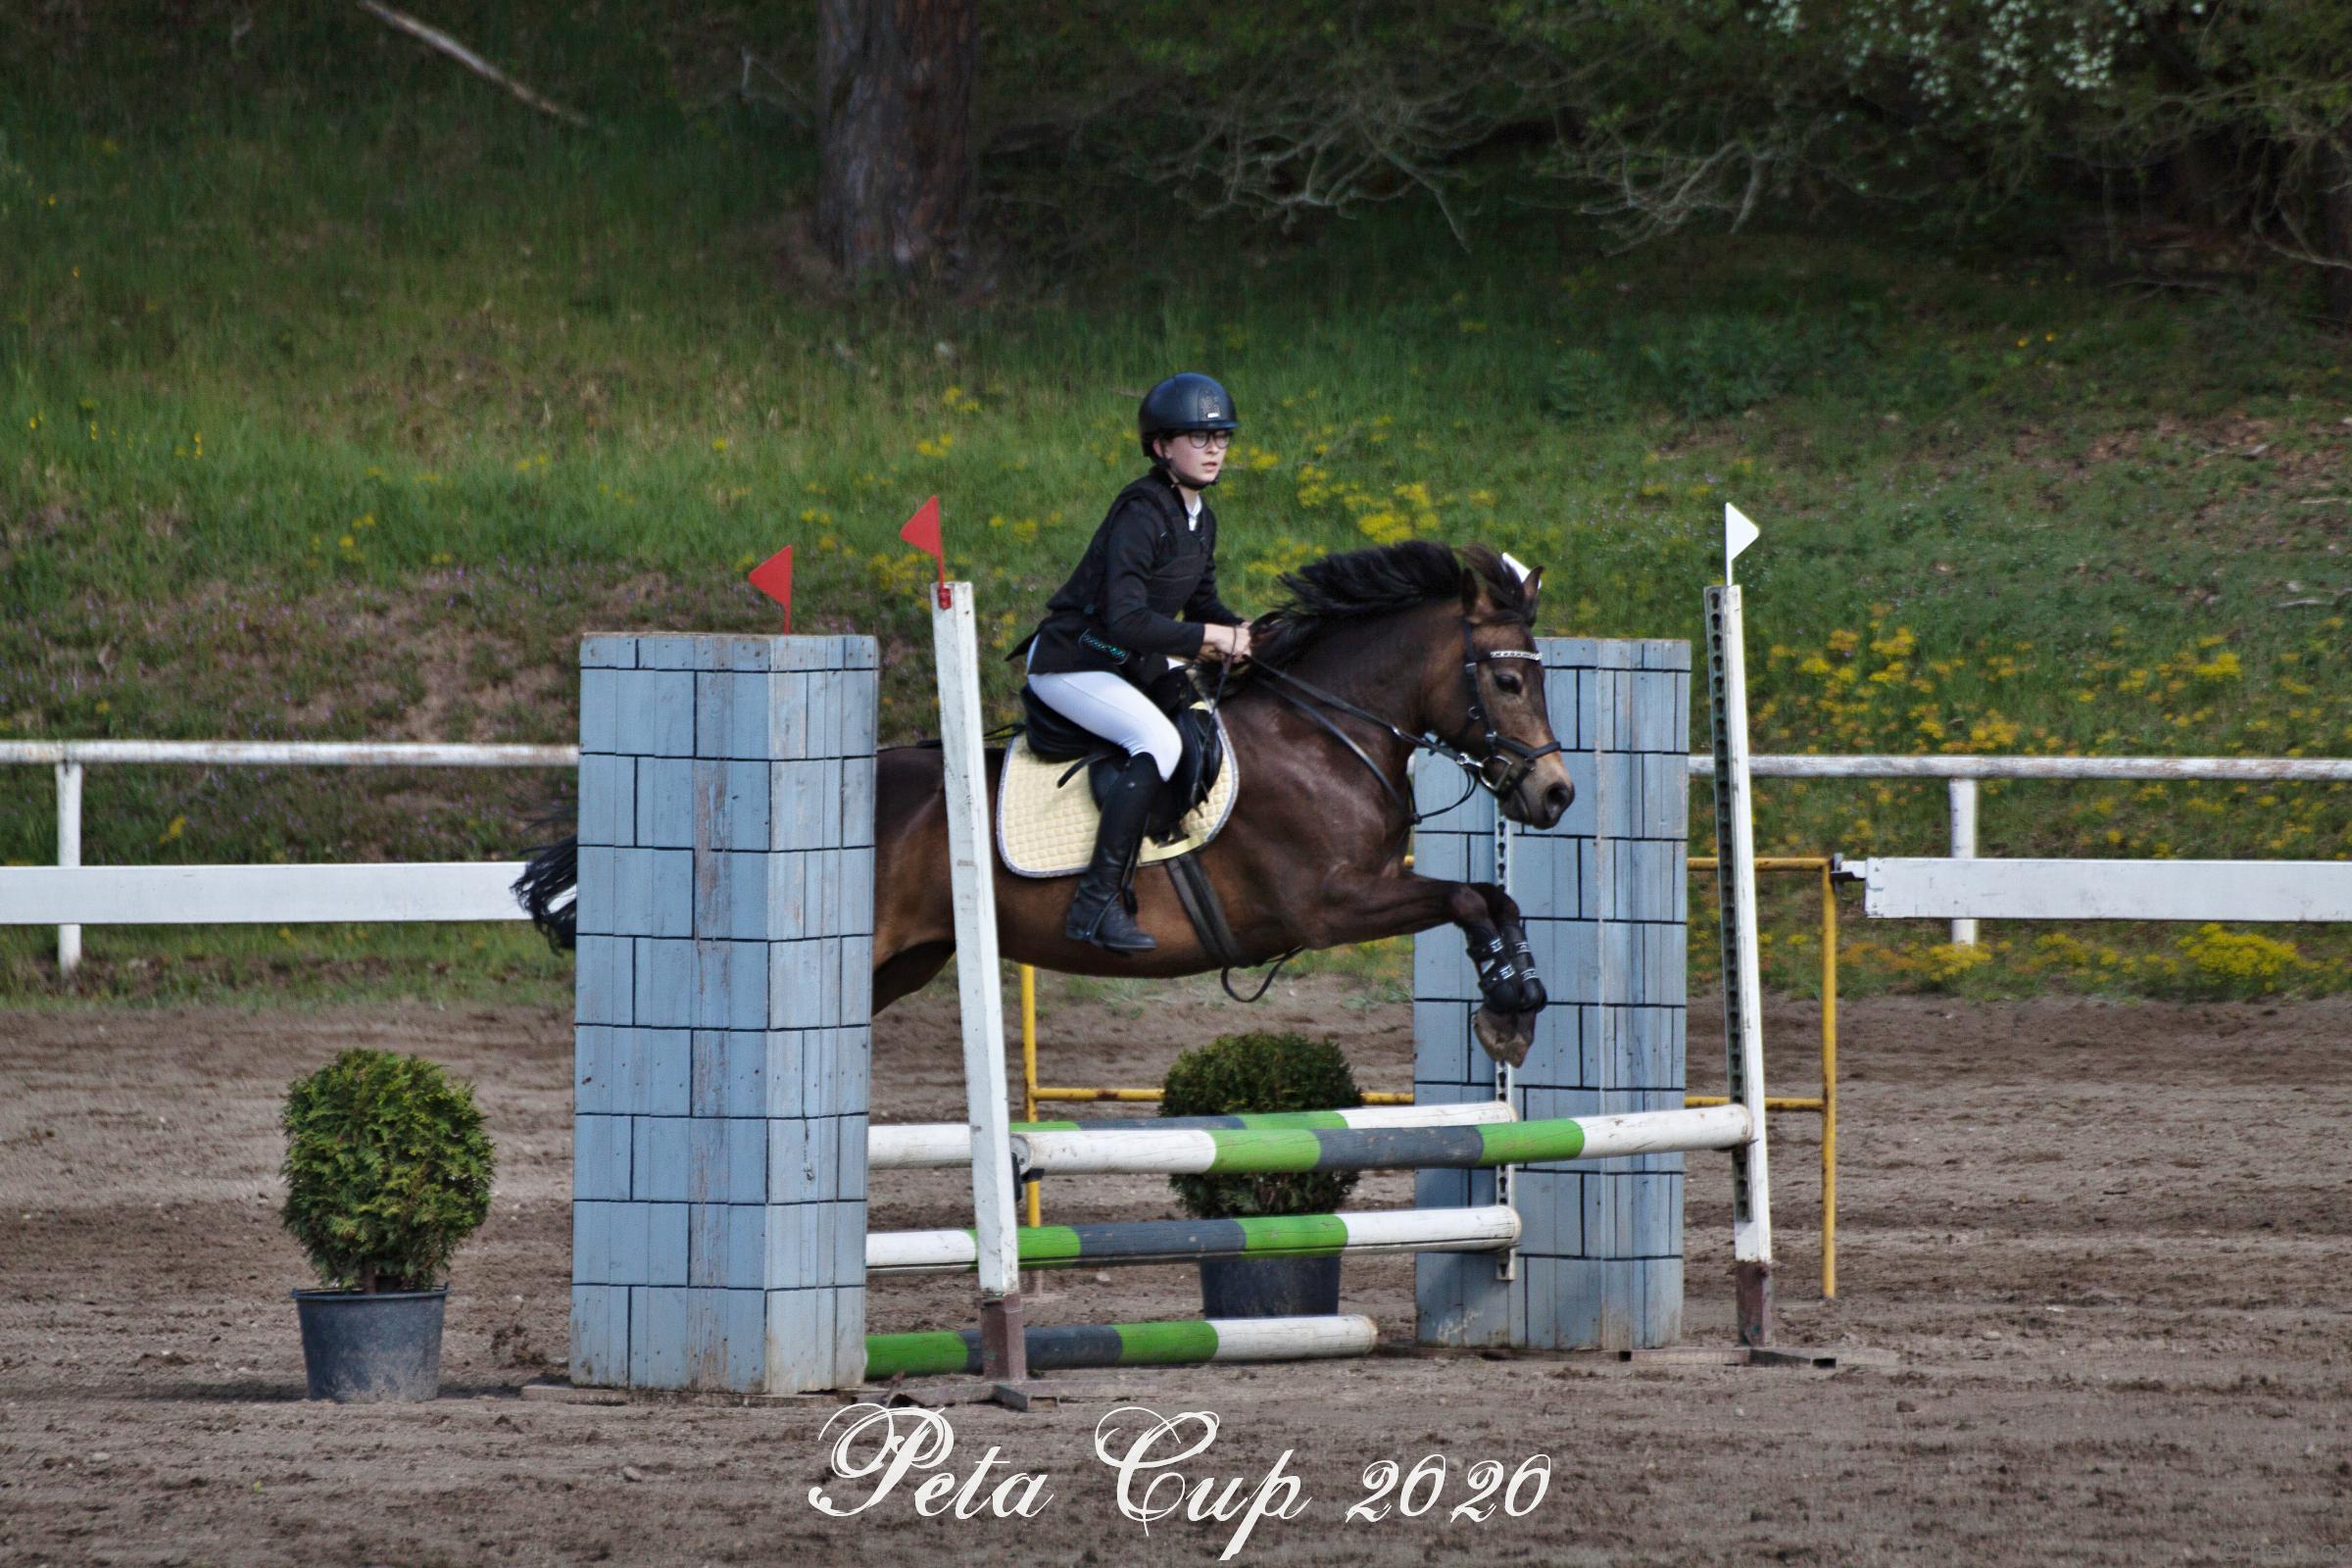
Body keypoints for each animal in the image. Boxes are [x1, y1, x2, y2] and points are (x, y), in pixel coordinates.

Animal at [519, 540, 1576, 1065]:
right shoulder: (1329, 905)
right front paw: (1509, 1010)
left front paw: (1518, 998)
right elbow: (1468, 896)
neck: (1327, 728)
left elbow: (1498, 898)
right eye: (1508, 681)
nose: (1556, 793)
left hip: (903, 961)